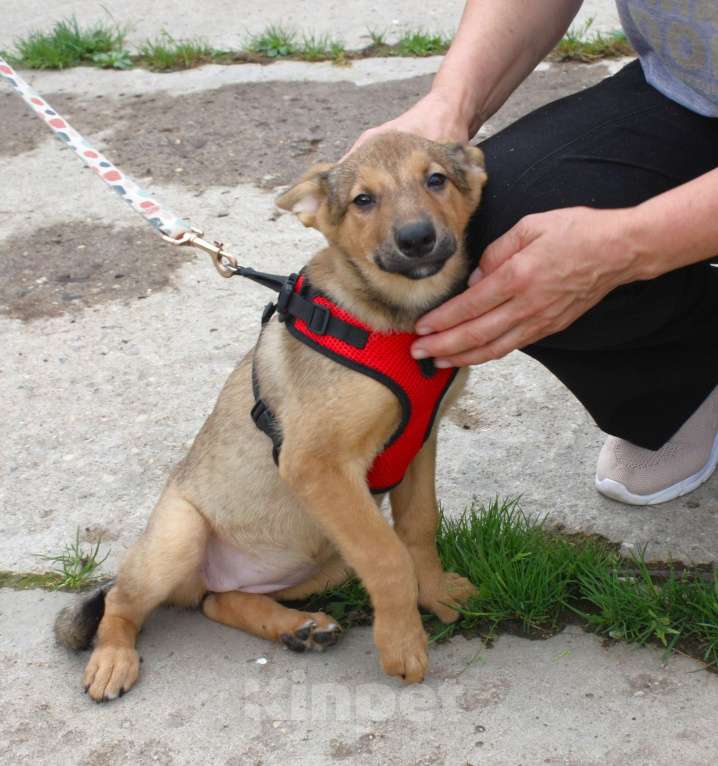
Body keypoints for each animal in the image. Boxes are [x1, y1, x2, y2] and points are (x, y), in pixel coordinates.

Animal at [56, 132, 490, 704]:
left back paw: (299, 627)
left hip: (327, 560)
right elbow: (388, 555)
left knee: (219, 602)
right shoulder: (315, 463)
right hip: (176, 539)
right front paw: (403, 644)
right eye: (363, 200)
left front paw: (438, 594)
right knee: (120, 605)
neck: (396, 319)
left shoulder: (421, 442)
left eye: (436, 179)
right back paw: (112, 659)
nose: (417, 238)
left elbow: (418, 528)